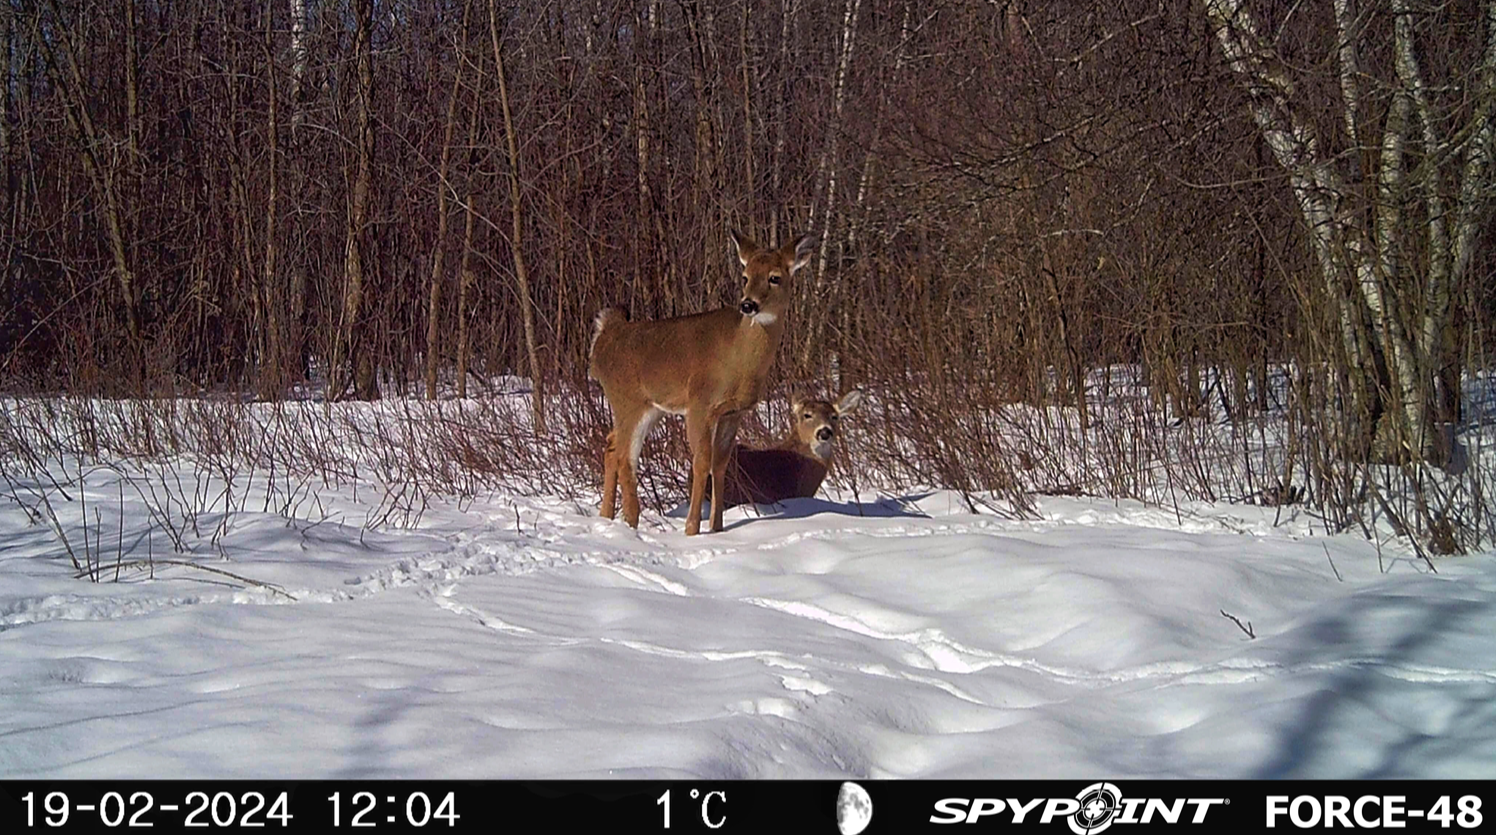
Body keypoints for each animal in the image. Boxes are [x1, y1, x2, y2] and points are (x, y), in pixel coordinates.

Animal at [589, 229, 815, 535]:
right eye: (745, 276)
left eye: (775, 277)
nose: (748, 304)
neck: (738, 360)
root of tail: (603, 339)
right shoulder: (700, 404)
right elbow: (701, 462)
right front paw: (692, 528)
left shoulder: (733, 412)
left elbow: (720, 463)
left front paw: (717, 527)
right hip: (629, 400)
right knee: (626, 456)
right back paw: (631, 522)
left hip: (649, 408)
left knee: (612, 445)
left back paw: (607, 517)